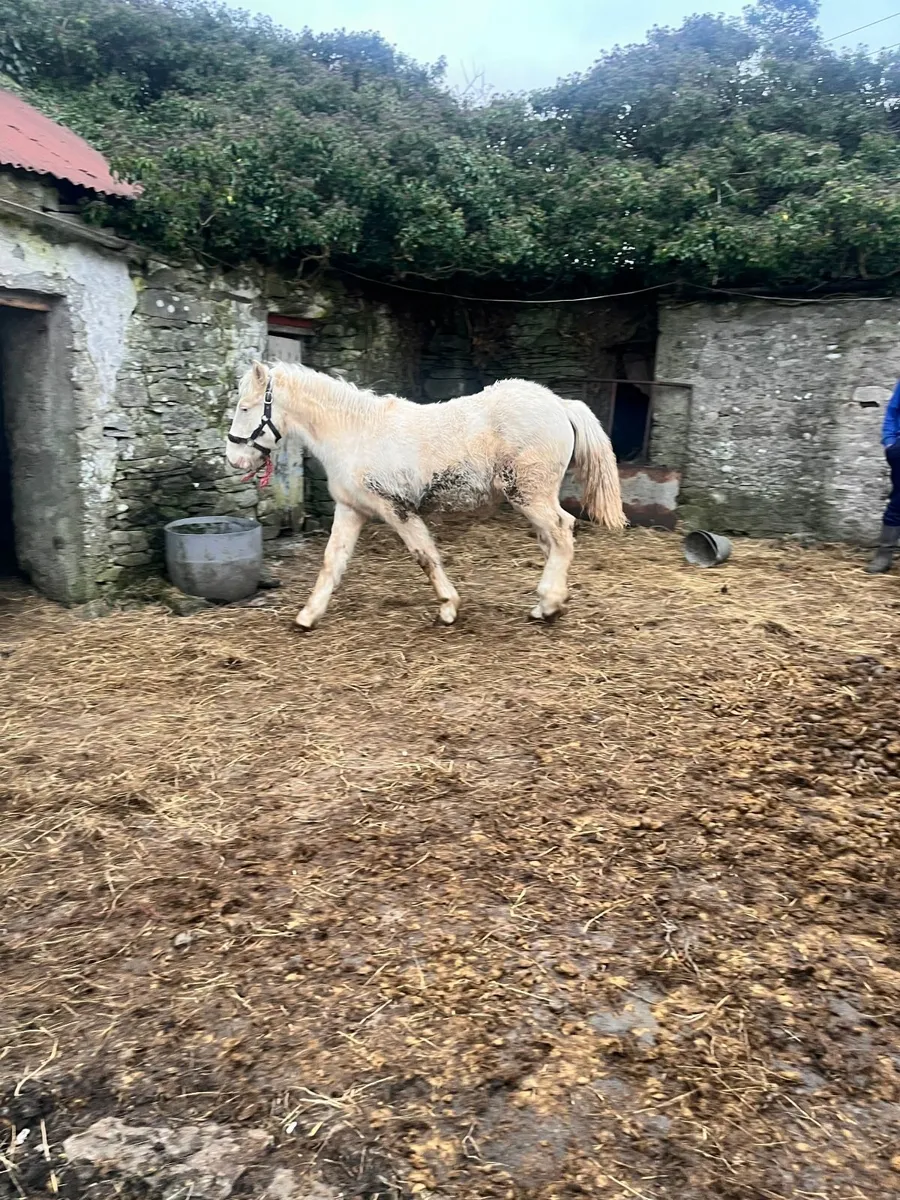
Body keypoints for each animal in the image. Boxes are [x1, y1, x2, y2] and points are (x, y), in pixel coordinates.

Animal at [225, 362, 625, 629]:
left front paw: (448, 608)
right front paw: (307, 616)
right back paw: (547, 603)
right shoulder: (351, 509)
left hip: (529, 493)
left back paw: (550, 604)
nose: (234, 458)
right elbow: (331, 561)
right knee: (552, 539)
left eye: (245, 408)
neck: (355, 433)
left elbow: (425, 556)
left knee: (562, 531)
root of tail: (561, 405)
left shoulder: (396, 508)